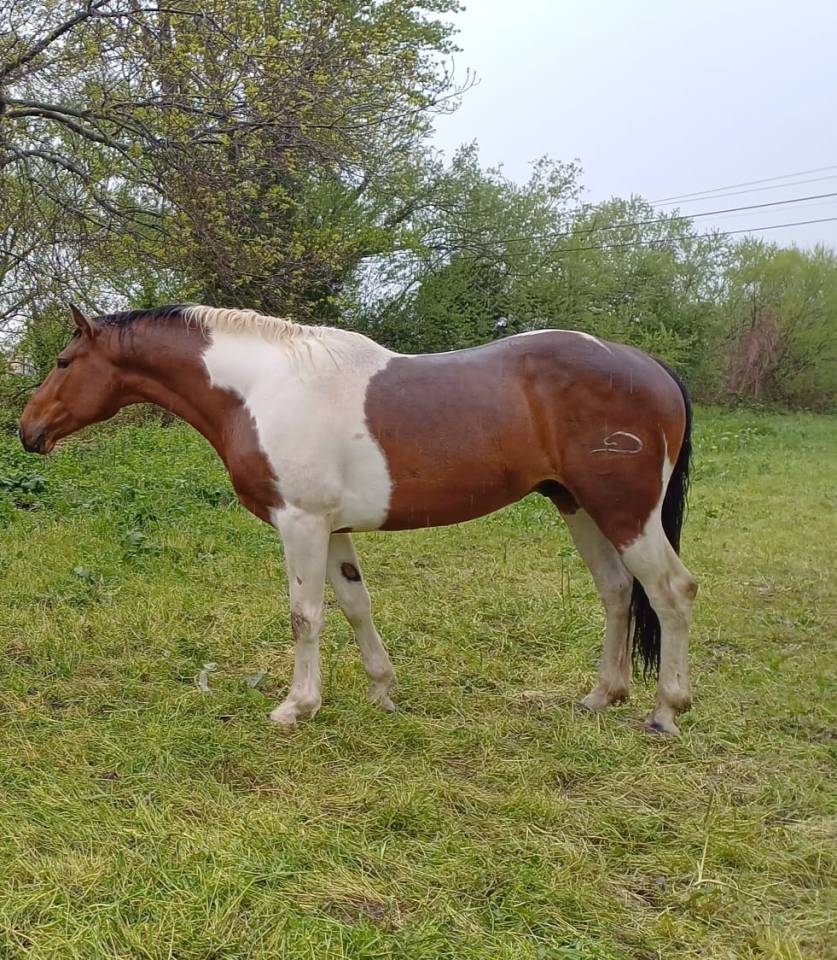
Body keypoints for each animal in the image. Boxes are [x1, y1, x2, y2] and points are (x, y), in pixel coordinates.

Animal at [19, 304, 698, 734]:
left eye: (62, 361)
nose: (28, 429)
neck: (263, 388)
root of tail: (647, 365)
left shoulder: (301, 522)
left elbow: (305, 614)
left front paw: (296, 707)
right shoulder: (334, 529)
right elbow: (354, 605)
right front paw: (381, 690)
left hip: (625, 511)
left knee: (672, 591)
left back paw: (666, 710)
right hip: (578, 506)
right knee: (616, 591)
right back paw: (601, 696)